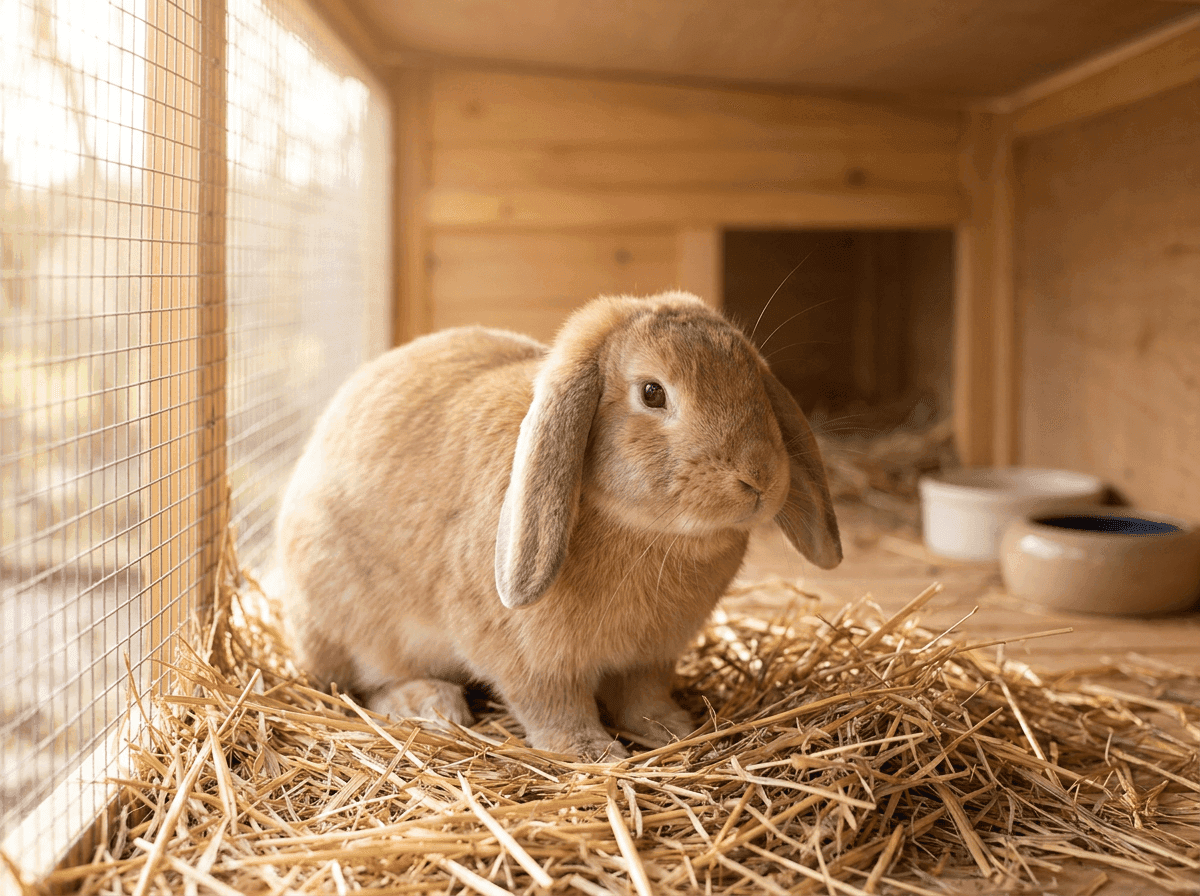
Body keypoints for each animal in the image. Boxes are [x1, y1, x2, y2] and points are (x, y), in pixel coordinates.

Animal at [276, 291, 841, 760]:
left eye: (755, 385)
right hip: (353, 623)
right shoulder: (528, 657)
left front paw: (673, 729)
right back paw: (432, 704)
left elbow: (644, 699)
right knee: (364, 684)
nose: (758, 477)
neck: (650, 533)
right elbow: (552, 704)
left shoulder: (651, 658)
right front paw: (592, 751)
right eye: (652, 393)